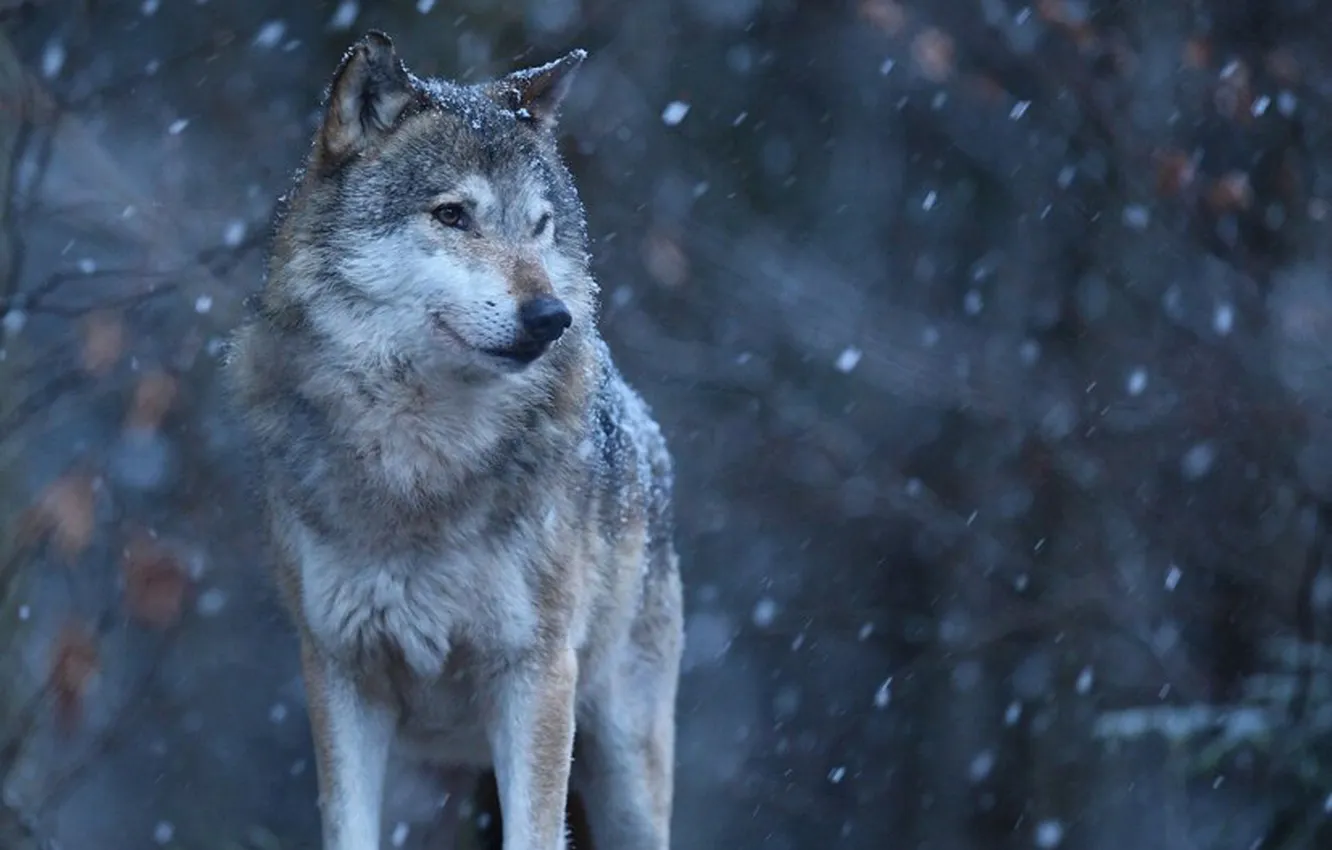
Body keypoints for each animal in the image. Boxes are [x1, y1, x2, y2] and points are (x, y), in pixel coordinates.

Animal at [222, 31, 683, 850]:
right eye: (453, 215)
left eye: (540, 225)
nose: (552, 317)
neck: (422, 458)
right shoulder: (339, 672)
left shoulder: (536, 675)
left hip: (625, 772)